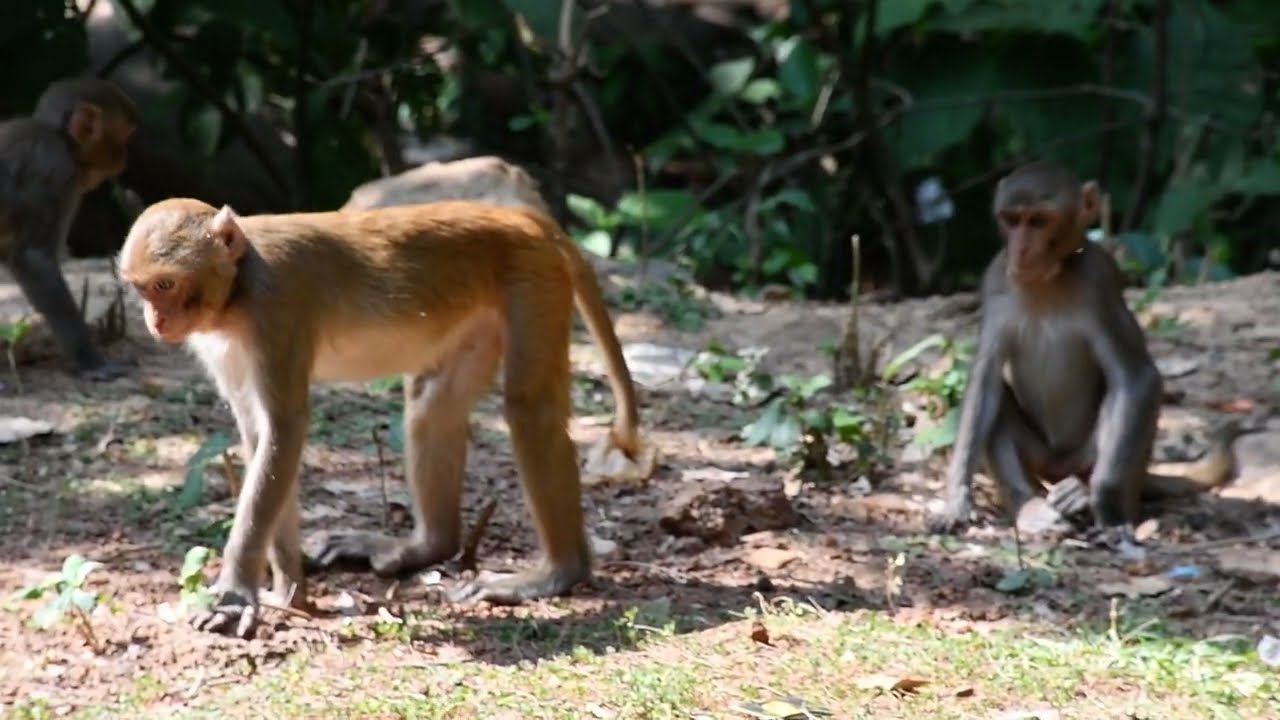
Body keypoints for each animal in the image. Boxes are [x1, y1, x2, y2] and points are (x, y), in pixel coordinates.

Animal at [0, 77, 139, 380]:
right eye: (124, 137)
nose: (125, 156)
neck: (57, 136)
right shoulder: (55, 171)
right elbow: (34, 259)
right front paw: (92, 361)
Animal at [117, 198, 640, 637]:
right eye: (142, 290)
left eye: (165, 284)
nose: (155, 321)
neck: (237, 291)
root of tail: (520, 217)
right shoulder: (225, 344)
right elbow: (258, 435)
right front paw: (289, 590)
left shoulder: (275, 310)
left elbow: (283, 429)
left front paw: (234, 593)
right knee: (434, 405)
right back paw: (429, 546)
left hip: (533, 279)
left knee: (529, 408)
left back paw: (558, 572)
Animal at [926, 161, 1241, 542]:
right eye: (1011, 220)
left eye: (1038, 221)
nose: (1020, 249)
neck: (1049, 279)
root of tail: (1059, 464)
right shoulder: (996, 280)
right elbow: (984, 382)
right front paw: (957, 499)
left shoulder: (1100, 280)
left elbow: (1136, 377)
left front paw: (1100, 500)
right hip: (1040, 456)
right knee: (999, 398)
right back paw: (1029, 507)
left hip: (1086, 458)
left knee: (1131, 398)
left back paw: (1093, 498)